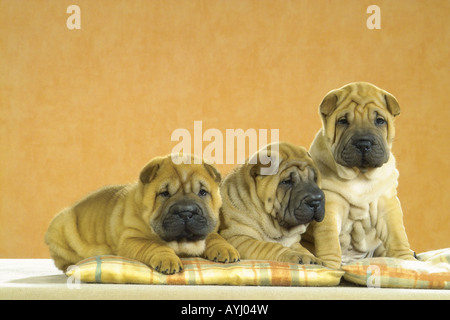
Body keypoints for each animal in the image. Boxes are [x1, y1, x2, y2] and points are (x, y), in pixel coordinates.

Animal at [46, 154, 239, 274]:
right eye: (164, 194)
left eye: (203, 192)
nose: (186, 212)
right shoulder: (132, 239)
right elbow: (154, 245)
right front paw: (168, 260)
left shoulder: (207, 227)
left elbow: (214, 237)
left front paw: (226, 249)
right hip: (58, 228)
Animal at [304, 81, 416, 268]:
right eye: (343, 121)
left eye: (379, 121)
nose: (364, 143)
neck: (360, 175)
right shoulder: (330, 205)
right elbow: (329, 240)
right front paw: (330, 264)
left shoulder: (387, 203)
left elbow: (398, 235)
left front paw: (406, 259)